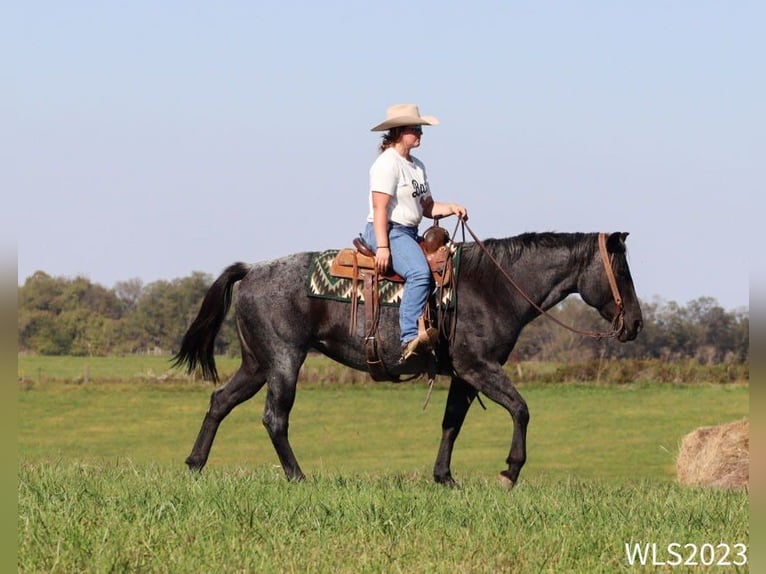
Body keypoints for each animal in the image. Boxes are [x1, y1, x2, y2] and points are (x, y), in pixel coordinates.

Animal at [172, 232, 640, 488]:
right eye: (622, 270)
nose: (634, 323)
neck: (493, 286)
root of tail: (251, 269)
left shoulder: (463, 375)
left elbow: (452, 423)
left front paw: (445, 477)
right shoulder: (479, 367)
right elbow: (521, 409)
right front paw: (509, 472)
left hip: (257, 364)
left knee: (220, 401)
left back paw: (195, 465)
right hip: (284, 361)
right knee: (275, 418)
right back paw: (297, 476)